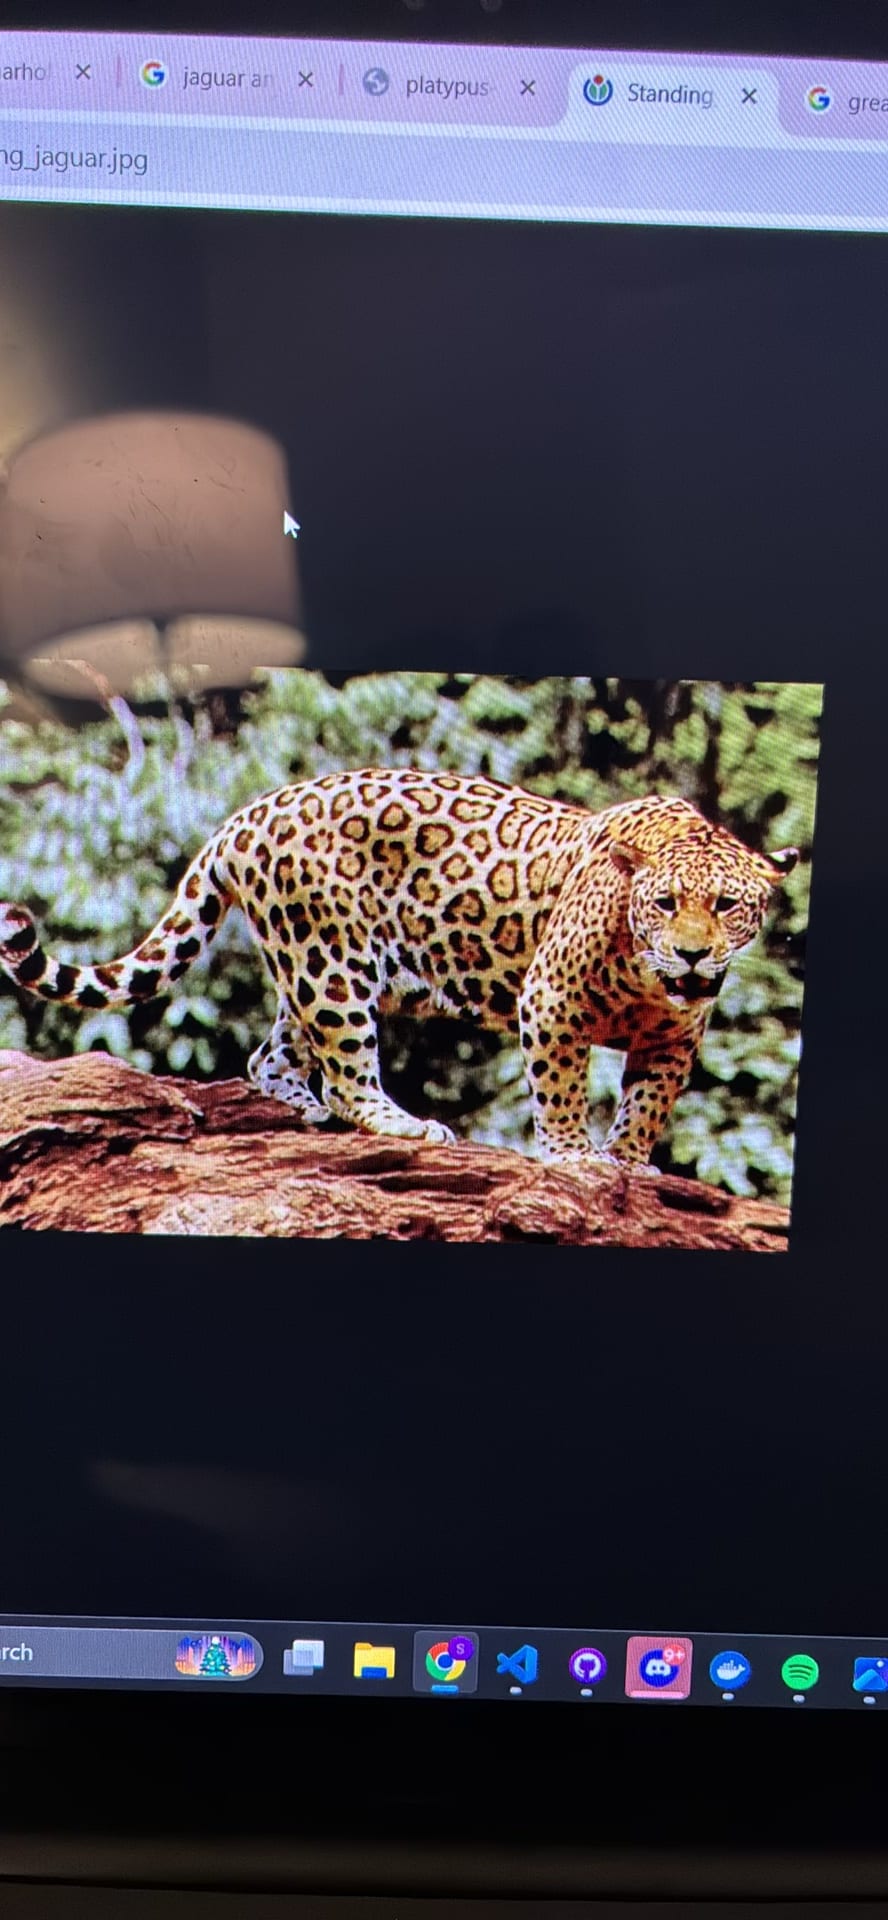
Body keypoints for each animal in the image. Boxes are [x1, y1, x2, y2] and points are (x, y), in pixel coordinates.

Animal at [0, 768, 798, 1169]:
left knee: (271, 1055)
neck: (648, 975)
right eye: (665, 903)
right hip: (332, 963)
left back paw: (304, 1108)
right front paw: (575, 1156)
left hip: (317, 967)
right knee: (348, 1071)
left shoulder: (673, 1038)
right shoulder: (551, 1001)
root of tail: (246, 815)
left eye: (727, 905)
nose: (692, 952)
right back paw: (403, 1124)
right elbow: (563, 1088)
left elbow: (649, 1103)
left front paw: (628, 1160)